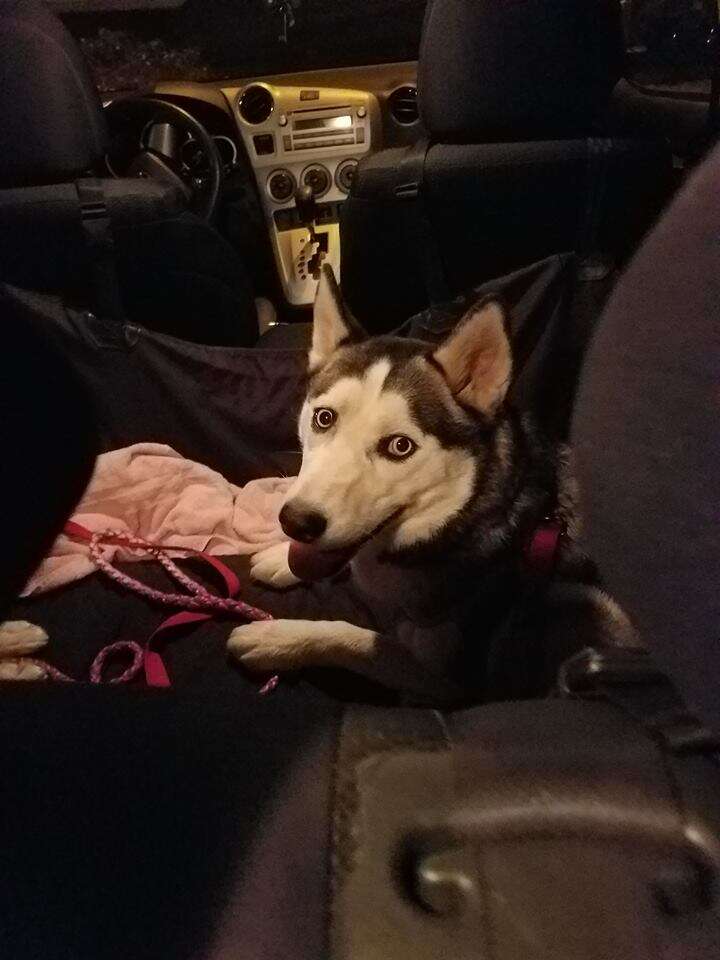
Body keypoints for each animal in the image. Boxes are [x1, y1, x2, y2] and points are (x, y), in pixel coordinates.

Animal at [228, 266, 632, 700]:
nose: (296, 522)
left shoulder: (450, 682)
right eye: (324, 418)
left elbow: (355, 638)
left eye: (399, 446)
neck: (464, 516)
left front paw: (276, 639)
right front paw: (281, 558)